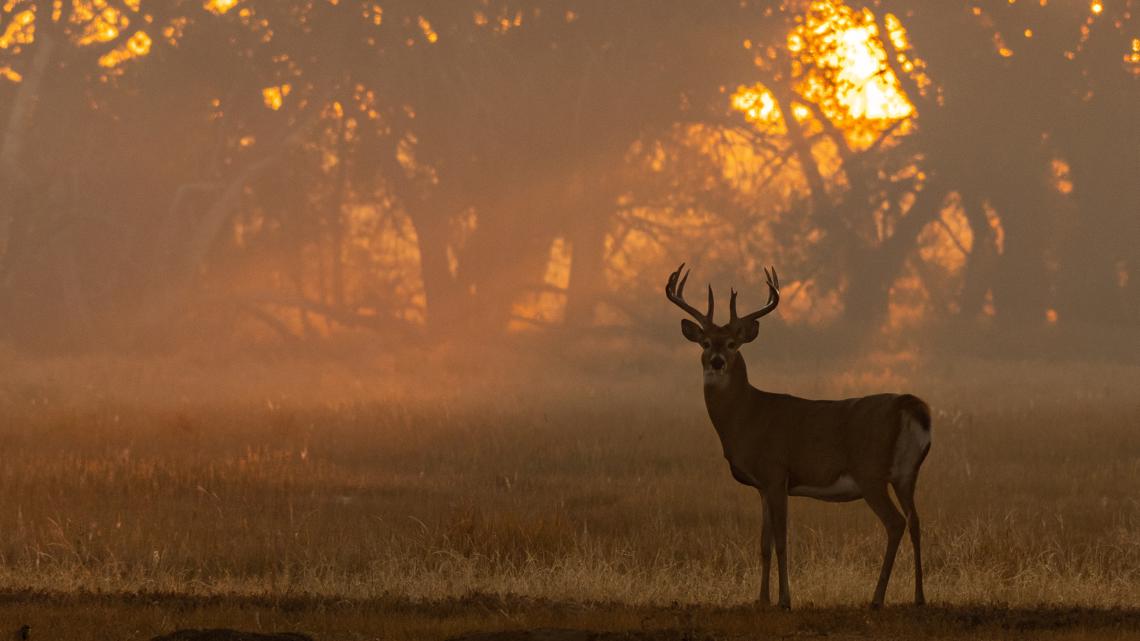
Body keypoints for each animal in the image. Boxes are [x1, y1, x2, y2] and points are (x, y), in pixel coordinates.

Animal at [665, 263, 931, 610]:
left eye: (734, 343)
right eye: (706, 342)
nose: (717, 362)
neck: (748, 416)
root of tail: (909, 405)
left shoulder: (777, 472)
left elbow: (781, 541)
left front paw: (785, 600)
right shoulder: (763, 486)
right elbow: (763, 543)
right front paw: (761, 599)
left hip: (870, 472)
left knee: (896, 523)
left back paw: (877, 599)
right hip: (906, 474)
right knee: (916, 522)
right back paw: (919, 597)